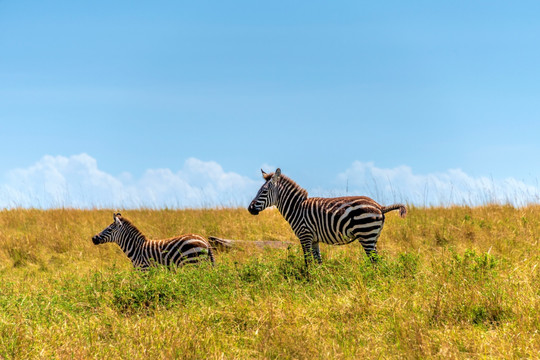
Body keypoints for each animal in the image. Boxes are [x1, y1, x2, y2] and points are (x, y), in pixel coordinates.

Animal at [248, 169, 404, 264]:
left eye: (264, 191)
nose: (250, 209)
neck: (296, 208)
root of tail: (379, 206)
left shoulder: (305, 236)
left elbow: (308, 262)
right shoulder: (314, 239)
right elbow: (318, 262)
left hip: (366, 234)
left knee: (375, 261)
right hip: (373, 236)